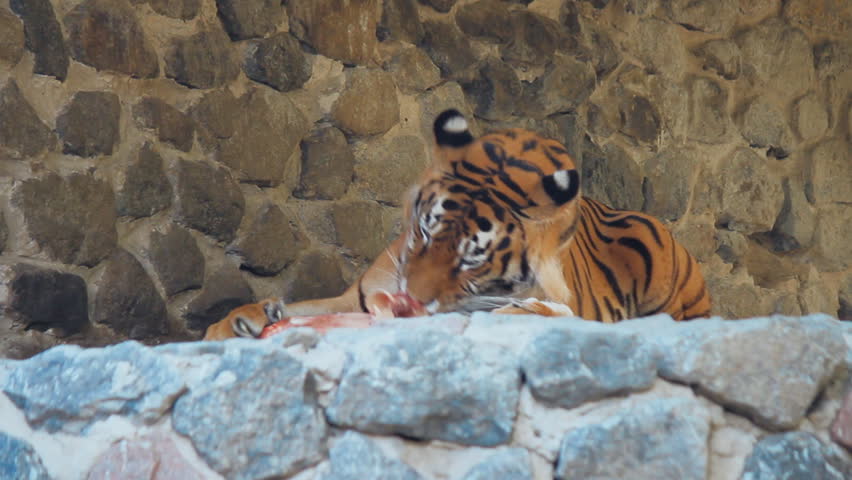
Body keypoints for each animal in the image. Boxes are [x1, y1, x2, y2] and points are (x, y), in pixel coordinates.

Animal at [203, 109, 710, 339]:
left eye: (471, 261)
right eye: (425, 233)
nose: (409, 300)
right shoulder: (356, 297)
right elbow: (304, 305)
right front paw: (239, 321)